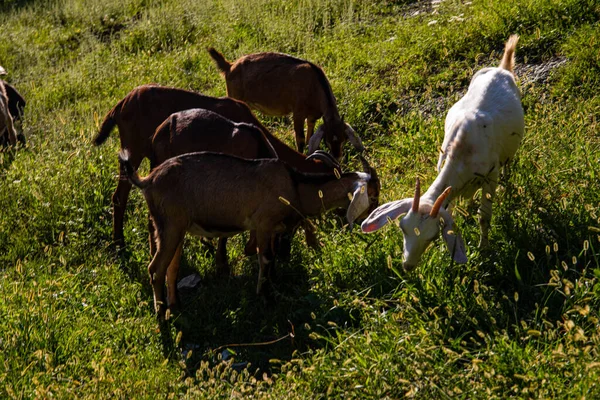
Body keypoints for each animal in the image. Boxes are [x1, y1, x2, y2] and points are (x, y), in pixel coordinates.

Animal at [206, 50, 366, 161]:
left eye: (344, 139)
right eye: (326, 140)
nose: (337, 157)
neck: (314, 84)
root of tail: (229, 66)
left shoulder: (312, 117)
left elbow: (309, 137)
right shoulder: (298, 113)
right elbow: (300, 140)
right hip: (234, 95)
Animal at [358, 36, 524, 270]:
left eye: (433, 236)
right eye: (402, 227)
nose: (407, 265)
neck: (462, 150)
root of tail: (501, 69)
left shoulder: (490, 176)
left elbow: (484, 217)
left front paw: (484, 249)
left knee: (508, 163)